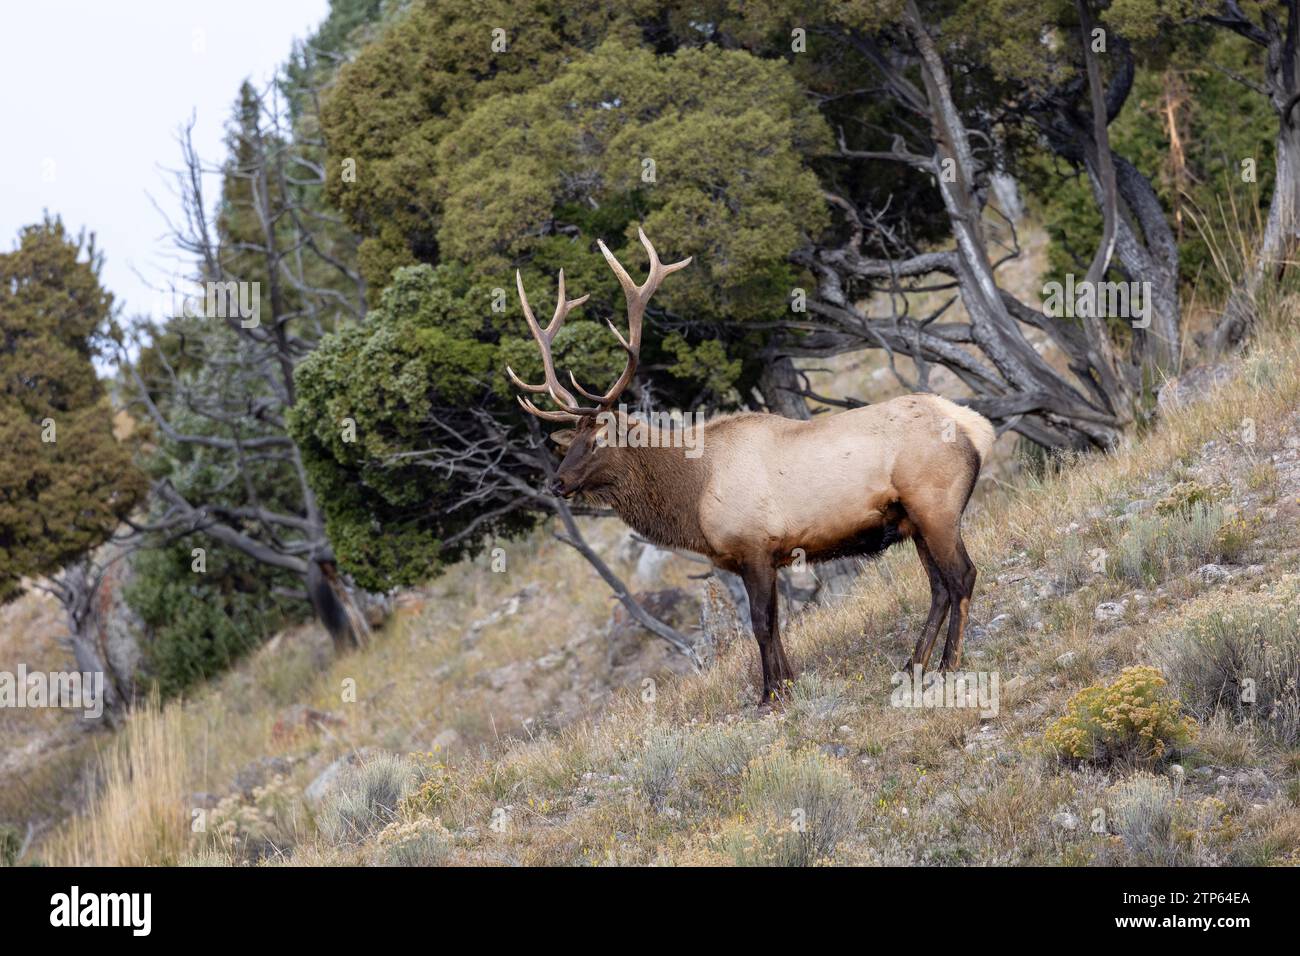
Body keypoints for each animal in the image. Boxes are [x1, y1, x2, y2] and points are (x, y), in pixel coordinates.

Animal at [506, 228, 993, 707]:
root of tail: (976, 426)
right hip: (913, 520)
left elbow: (761, 622)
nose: (557, 482)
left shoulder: (755, 545)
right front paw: (787, 684)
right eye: (569, 443)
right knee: (938, 587)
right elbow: (774, 623)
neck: (693, 496)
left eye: (597, 441)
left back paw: (947, 666)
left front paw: (770, 694)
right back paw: (912, 666)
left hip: (935, 506)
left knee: (961, 576)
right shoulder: (751, 559)